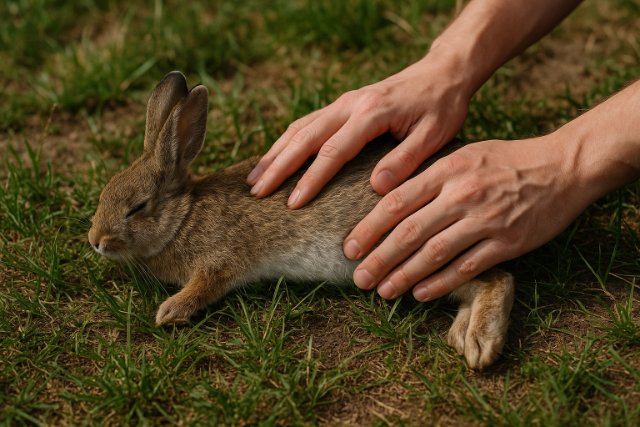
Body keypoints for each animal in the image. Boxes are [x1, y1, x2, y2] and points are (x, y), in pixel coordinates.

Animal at [88, 71, 515, 369]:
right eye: (105, 192)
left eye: (137, 207)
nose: (95, 239)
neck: (184, 216)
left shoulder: (221, 260)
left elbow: (205, 286)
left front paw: (169, 312)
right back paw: (462, 334)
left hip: (411, 255)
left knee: (498, 278)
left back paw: (480, 344)